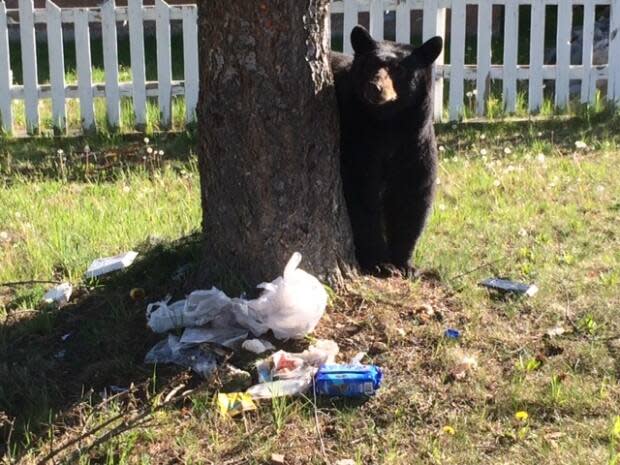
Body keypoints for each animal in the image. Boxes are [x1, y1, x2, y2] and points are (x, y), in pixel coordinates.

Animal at [332, 26, 444, 276]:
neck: (388, 126)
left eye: (399, 69)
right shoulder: (357, 142)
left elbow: (412, 196)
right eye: (369, 64)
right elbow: (361, 196)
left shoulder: (415, 145)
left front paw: (404, 264)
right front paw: (379, 262)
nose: (375, 87)